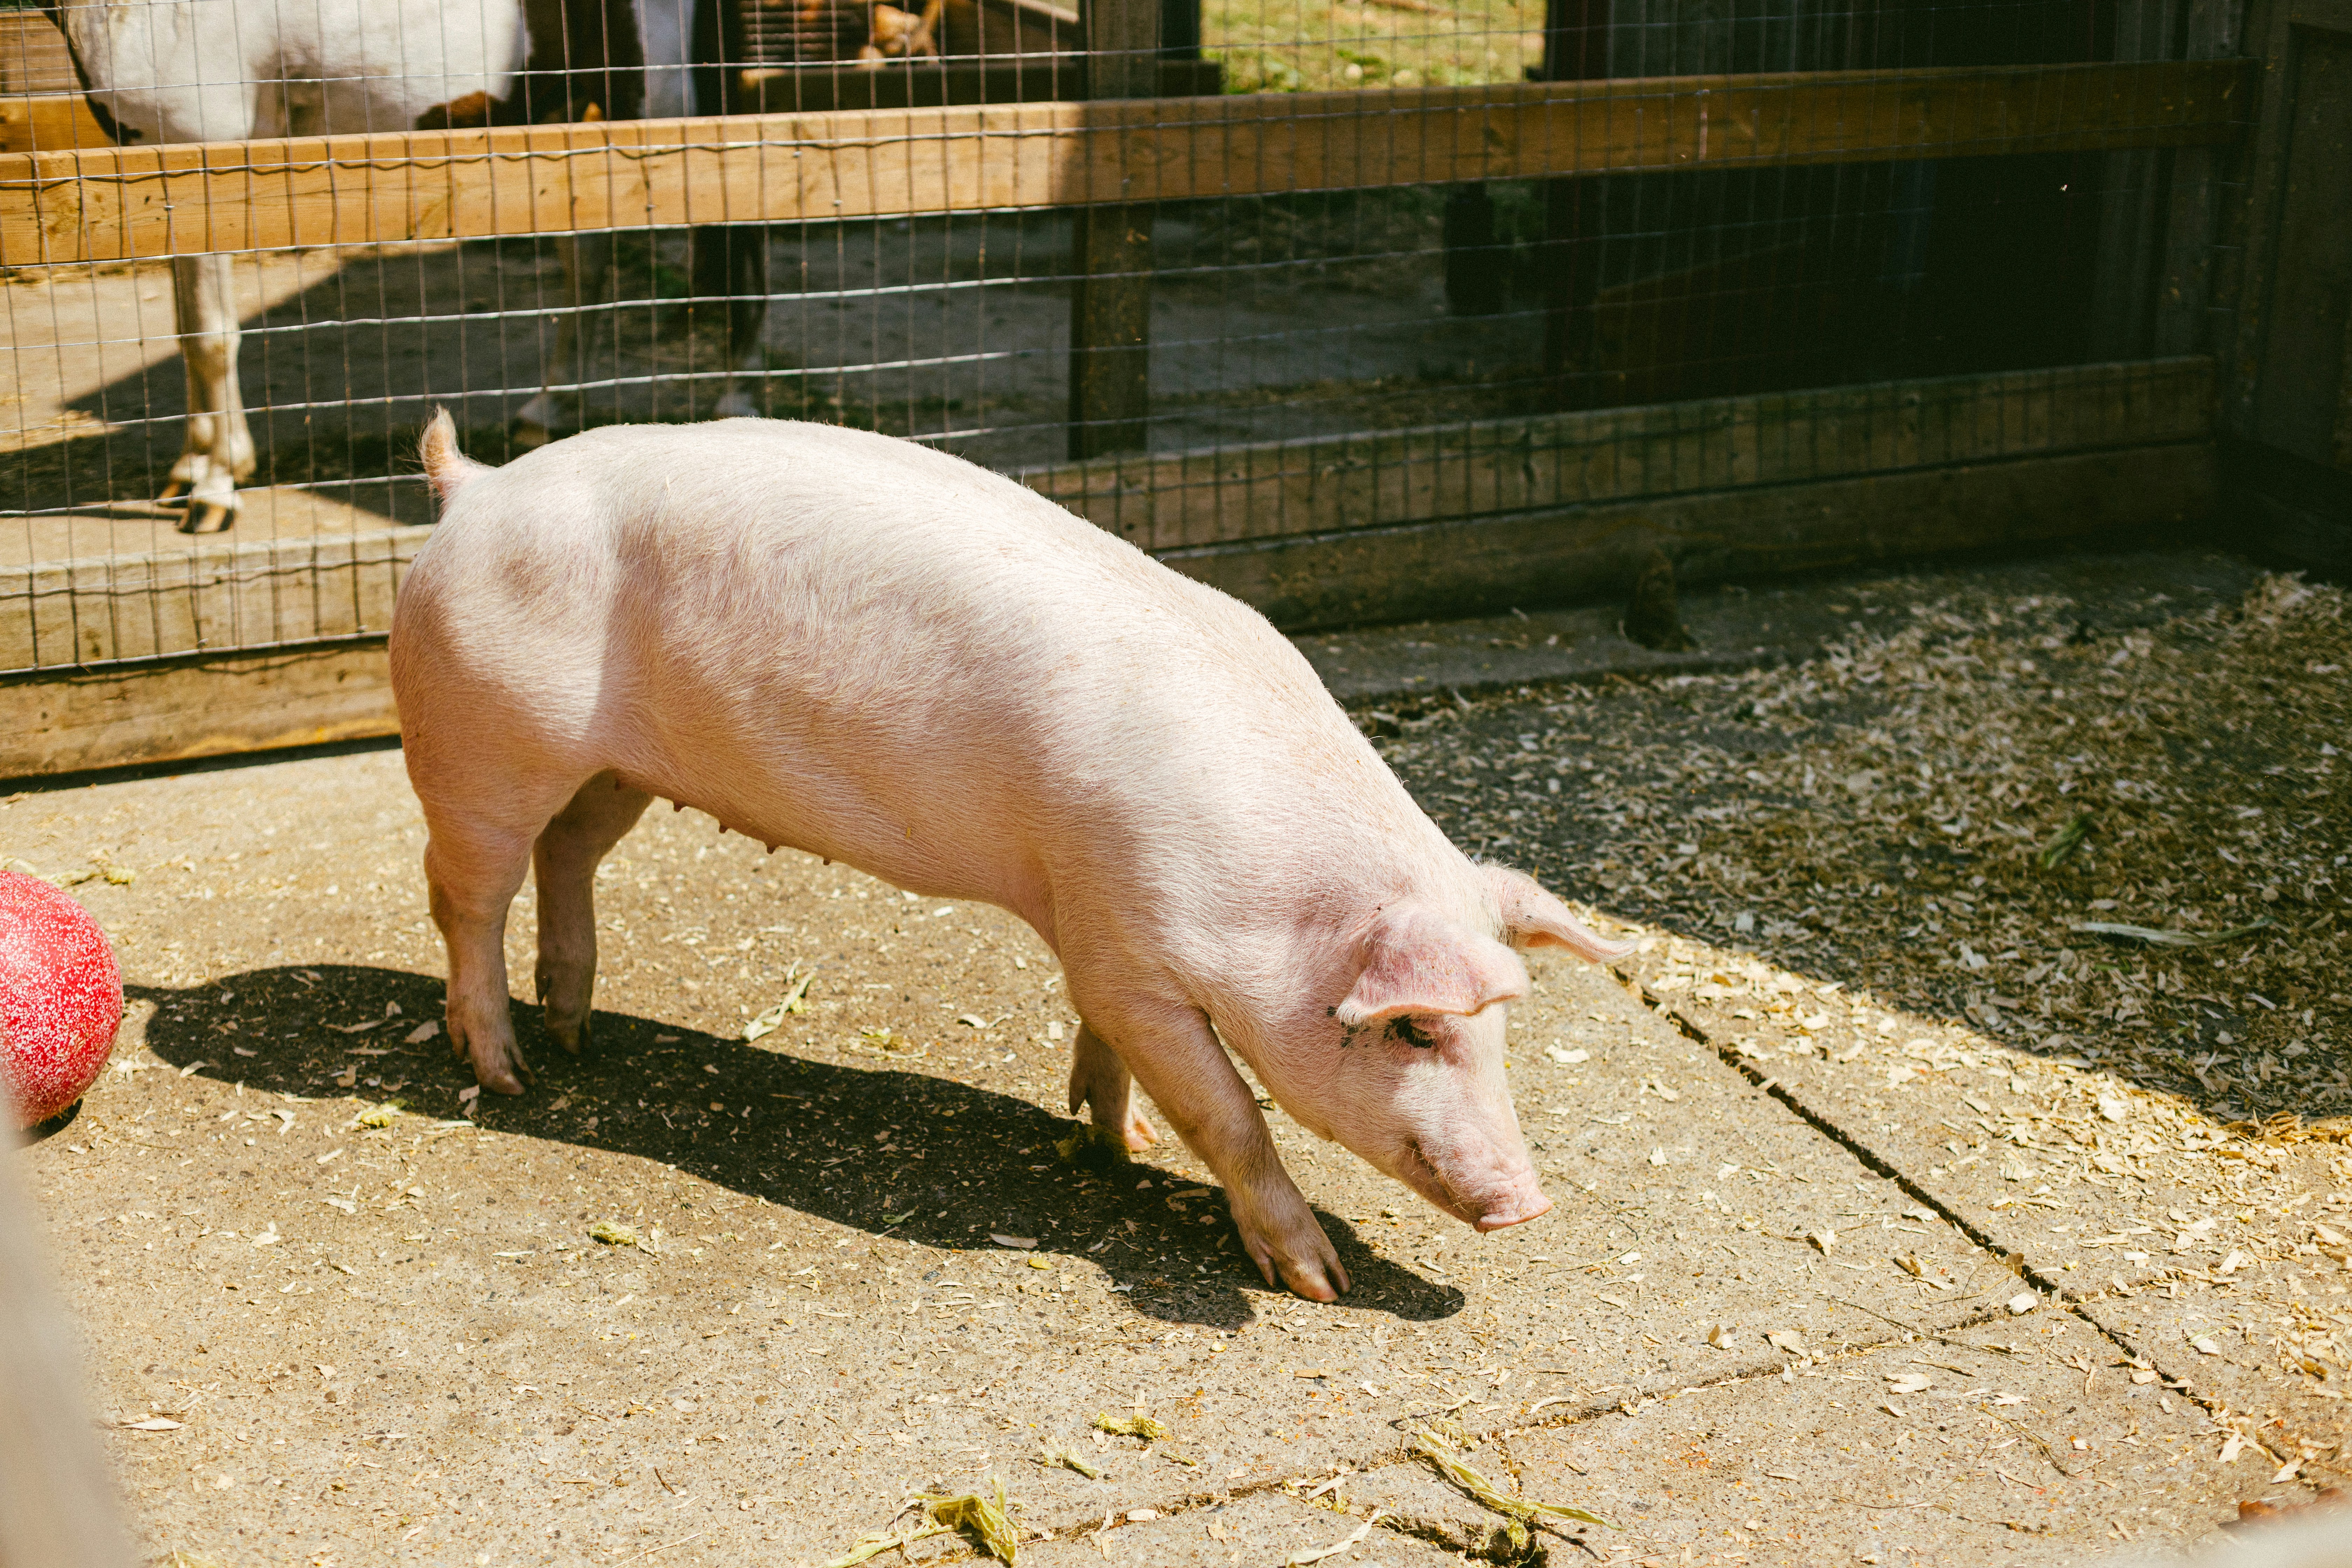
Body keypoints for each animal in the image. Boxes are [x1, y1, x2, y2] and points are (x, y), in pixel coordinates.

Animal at [391, 412, 1629, 1301]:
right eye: (1415, 1029)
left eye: (1502, 1031)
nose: (1528, 1203)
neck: (1273, 902)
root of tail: (475, 486)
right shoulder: (1132, 952)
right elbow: (1228, 1110)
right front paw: (1314, 1282)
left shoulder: (1095, 926)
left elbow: (1109, 1049)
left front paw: (1119, 1138)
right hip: (486, 743)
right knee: (465, 893)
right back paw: (509, 1071)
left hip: (615, 770)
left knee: (569, 855)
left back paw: (576, 1029)